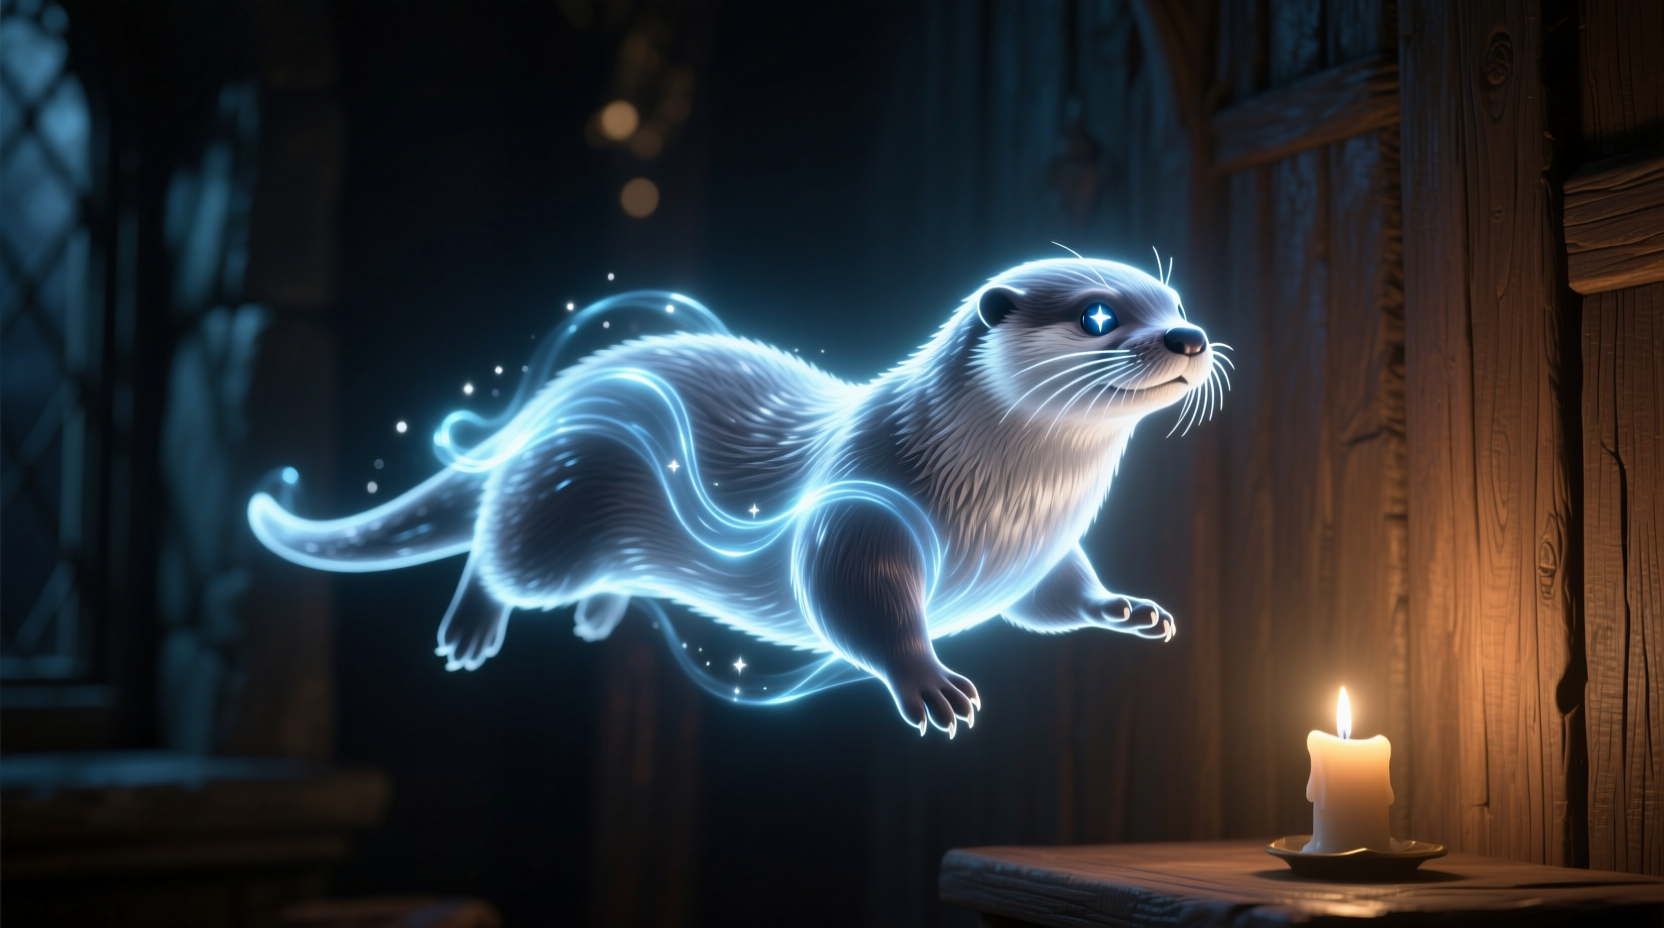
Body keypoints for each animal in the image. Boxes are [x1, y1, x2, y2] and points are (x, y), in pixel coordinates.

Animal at [248, 257, 1226, 737]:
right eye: (1099, 314)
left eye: (1174, 297)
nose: (1190, 334)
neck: (1004, 506)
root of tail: (563, 388)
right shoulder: (858, 510)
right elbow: (855, 603)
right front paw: (928, 681)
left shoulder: (1037, 556)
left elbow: (1057, 596)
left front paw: (1127, 609)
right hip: (552, 505)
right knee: (496, 553)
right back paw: (473, 626)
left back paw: (601, 615)